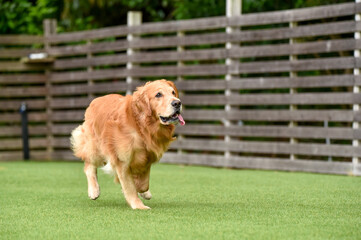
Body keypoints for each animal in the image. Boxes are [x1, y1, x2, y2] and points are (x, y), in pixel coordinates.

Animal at [70, 79, 184, 209]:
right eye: (158, 95)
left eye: (173, 92)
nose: (177, 103)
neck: (142, 126)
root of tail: (95, 100)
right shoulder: (122, 160)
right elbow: (130, 186)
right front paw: (139, 206)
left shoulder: (147, 157)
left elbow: (143, 184)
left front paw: (143, 192)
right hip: (95, 147)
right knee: (89, 165)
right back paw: (94, 190)